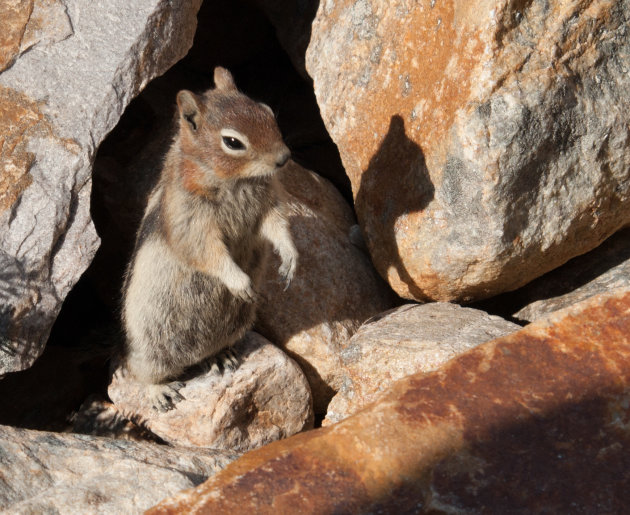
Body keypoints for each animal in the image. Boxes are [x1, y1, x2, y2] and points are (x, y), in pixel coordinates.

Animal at [124, 67, 302, 412]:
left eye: (267, 111)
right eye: (232, 142)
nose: (284, 158)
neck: (236, 180)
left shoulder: (267, 202)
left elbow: (278, 226)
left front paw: (290, 259)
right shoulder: (192, 219)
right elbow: (208, 252)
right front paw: (241, 283)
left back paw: (219, 357)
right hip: (150, 342)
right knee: (140, 372)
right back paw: (159, 392)